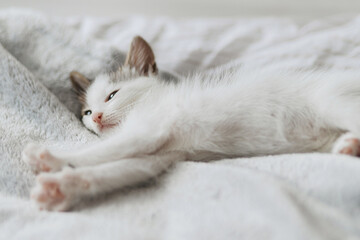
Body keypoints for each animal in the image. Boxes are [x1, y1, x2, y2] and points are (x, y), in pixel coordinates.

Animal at [21, 35, 360, 210]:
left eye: (113, 95)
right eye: (87, 112)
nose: (99, 118)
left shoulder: (150, 128)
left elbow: (102, 151)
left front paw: (50, 157)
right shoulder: (163, 152)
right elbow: (122, 168)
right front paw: (62, 189)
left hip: (331, 99)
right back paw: (349, 145)